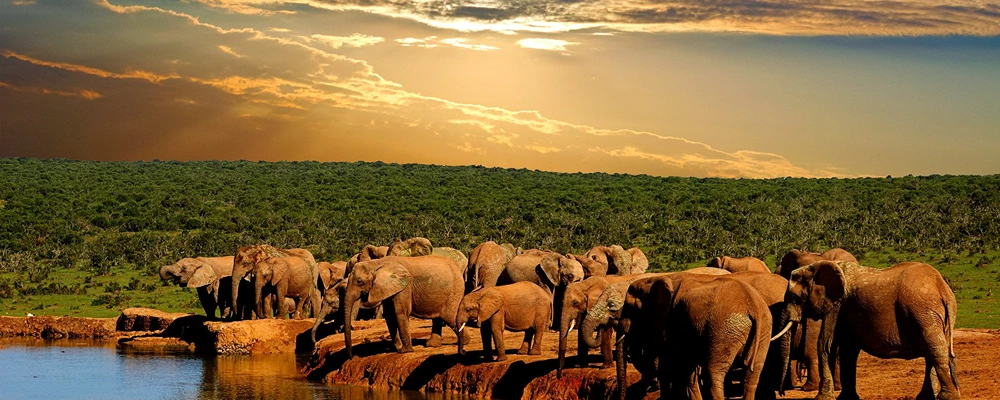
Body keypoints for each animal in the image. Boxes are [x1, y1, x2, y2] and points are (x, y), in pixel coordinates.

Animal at [785, 260, 959, 400]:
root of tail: (943, 289)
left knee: (935, 349)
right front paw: (847, 399)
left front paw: (821, 399)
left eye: (794, 298)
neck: (817, 265)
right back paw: (926, 398)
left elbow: (826, 345)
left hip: (923, 312)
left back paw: (948, 397)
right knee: (934, 351)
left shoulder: (837, 305)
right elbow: (848, 350)